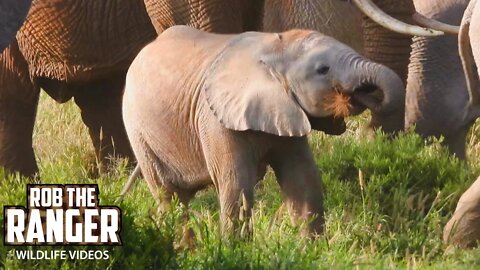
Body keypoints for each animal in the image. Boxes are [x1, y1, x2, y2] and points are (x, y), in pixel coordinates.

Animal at [124, 25, 404, 236]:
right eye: (323, 70)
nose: (369, 98)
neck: (276, 48)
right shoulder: (216, 120)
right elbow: (237, 187)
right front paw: (234, 252)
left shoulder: (286, 110)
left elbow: (303, 180)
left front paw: (309, 250)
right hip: (138, 130)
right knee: (168, 196)